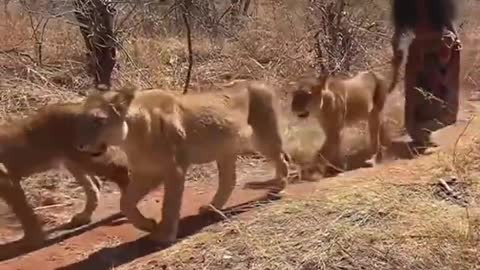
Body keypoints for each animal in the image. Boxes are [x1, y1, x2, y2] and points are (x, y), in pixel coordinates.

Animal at [0, 102, 129, 249]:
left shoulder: (6, 179)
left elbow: (23, 212)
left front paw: (32, 240)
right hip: (74, 161)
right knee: (95, 185)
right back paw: (83, 217)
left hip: (92, 158)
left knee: (121, 173)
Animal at [74, 80, 288, 245]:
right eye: (82, 119)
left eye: (99, 120)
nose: (80, 145)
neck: (130, 137)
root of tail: (261, 83)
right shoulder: (146, 172)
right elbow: (125, 203)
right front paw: (147, 224)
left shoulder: (173, 169)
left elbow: (169, 205)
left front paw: (165, 235)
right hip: (226, 151)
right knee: (229, 180)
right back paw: (212, 208)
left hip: (263, 137)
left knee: (283, 158)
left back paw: (277, 186)